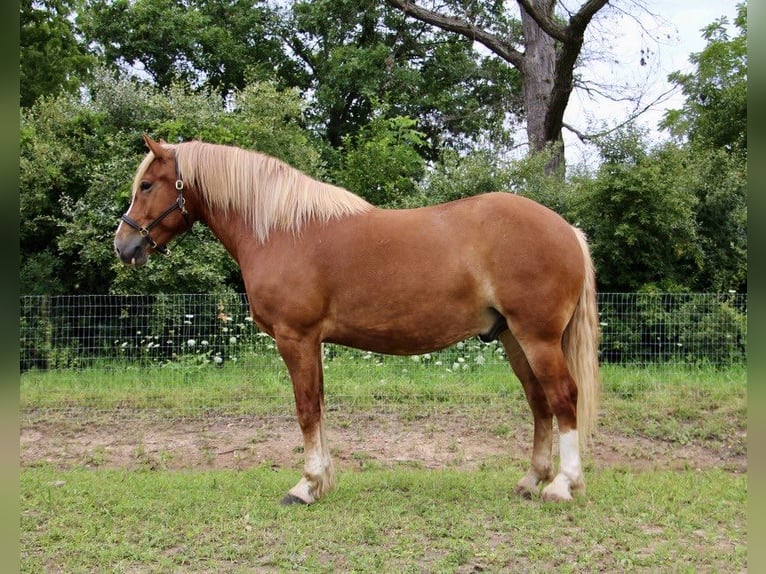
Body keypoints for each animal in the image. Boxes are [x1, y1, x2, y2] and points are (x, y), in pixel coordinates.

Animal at [117, 135, 604, 504]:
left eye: (147, 185)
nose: (124, 245)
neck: (281, 230)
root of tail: (567, 230)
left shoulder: (296, 338)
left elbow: (306, 409)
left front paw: (306, 486)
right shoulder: (312, 343)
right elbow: (318, 406)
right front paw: (322, 481)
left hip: (537, 338)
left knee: (563, 398)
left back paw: (562, 485)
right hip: (513, 339)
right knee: (539, 403)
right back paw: (532, 480)